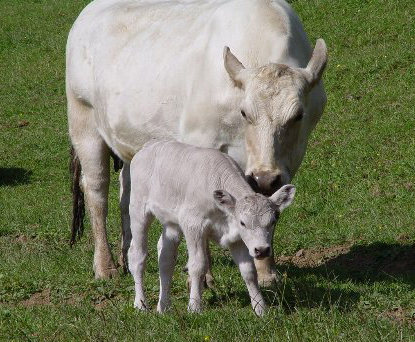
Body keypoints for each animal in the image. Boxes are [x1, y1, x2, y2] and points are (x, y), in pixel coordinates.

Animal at [66, 0, 328, 282]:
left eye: (298, 115)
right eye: (244, 112)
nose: (264, 178)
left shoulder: (289, 159)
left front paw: (266, 273)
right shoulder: (201, 141)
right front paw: (203, 276)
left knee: (127, 192)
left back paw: (127, 255)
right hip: (83, 120)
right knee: (96, 188)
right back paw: (105, 266)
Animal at [130, 140, 296, 316]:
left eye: (273, 220)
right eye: (243, 222)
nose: (262, 250)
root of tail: (151, 144)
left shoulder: (236, 238)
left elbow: (249, 271)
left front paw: (260, 308)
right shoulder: (193, 224)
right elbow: (198, 265)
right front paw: (194, 307)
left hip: (171, 222)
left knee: (165, 257)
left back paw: (164, 307)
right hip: (138, 209)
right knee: (138, 256)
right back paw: (140, 304)